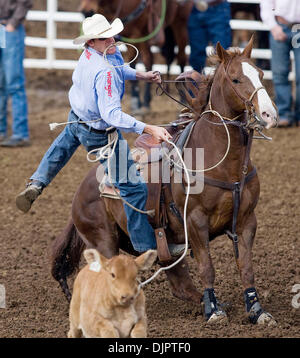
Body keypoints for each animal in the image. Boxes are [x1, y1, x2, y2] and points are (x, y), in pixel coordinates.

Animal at [50, 39, 278, 324]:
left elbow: (246, 266)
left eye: (260, 73)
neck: (224, 163)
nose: (269, 115)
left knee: (179, 282)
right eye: (236, 79)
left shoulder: (247, 219)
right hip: (103, 240)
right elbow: (207, 267)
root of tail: (81, 190)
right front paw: (213, 311)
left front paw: (256, 310)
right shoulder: (195, 220)